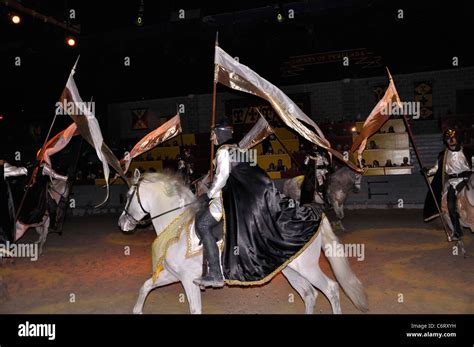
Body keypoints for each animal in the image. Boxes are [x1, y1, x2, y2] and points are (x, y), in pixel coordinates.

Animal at [116, 171, 368, 316]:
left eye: (128, 195)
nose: (122, 223)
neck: (176, 225)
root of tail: (313, 214)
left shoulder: (188, 280)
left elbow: (194, 309)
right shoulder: (174, 275)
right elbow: (146, 286)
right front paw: (137, 310)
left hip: (307, 267)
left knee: (331, 289)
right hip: (291, 270)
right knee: (309, 294)